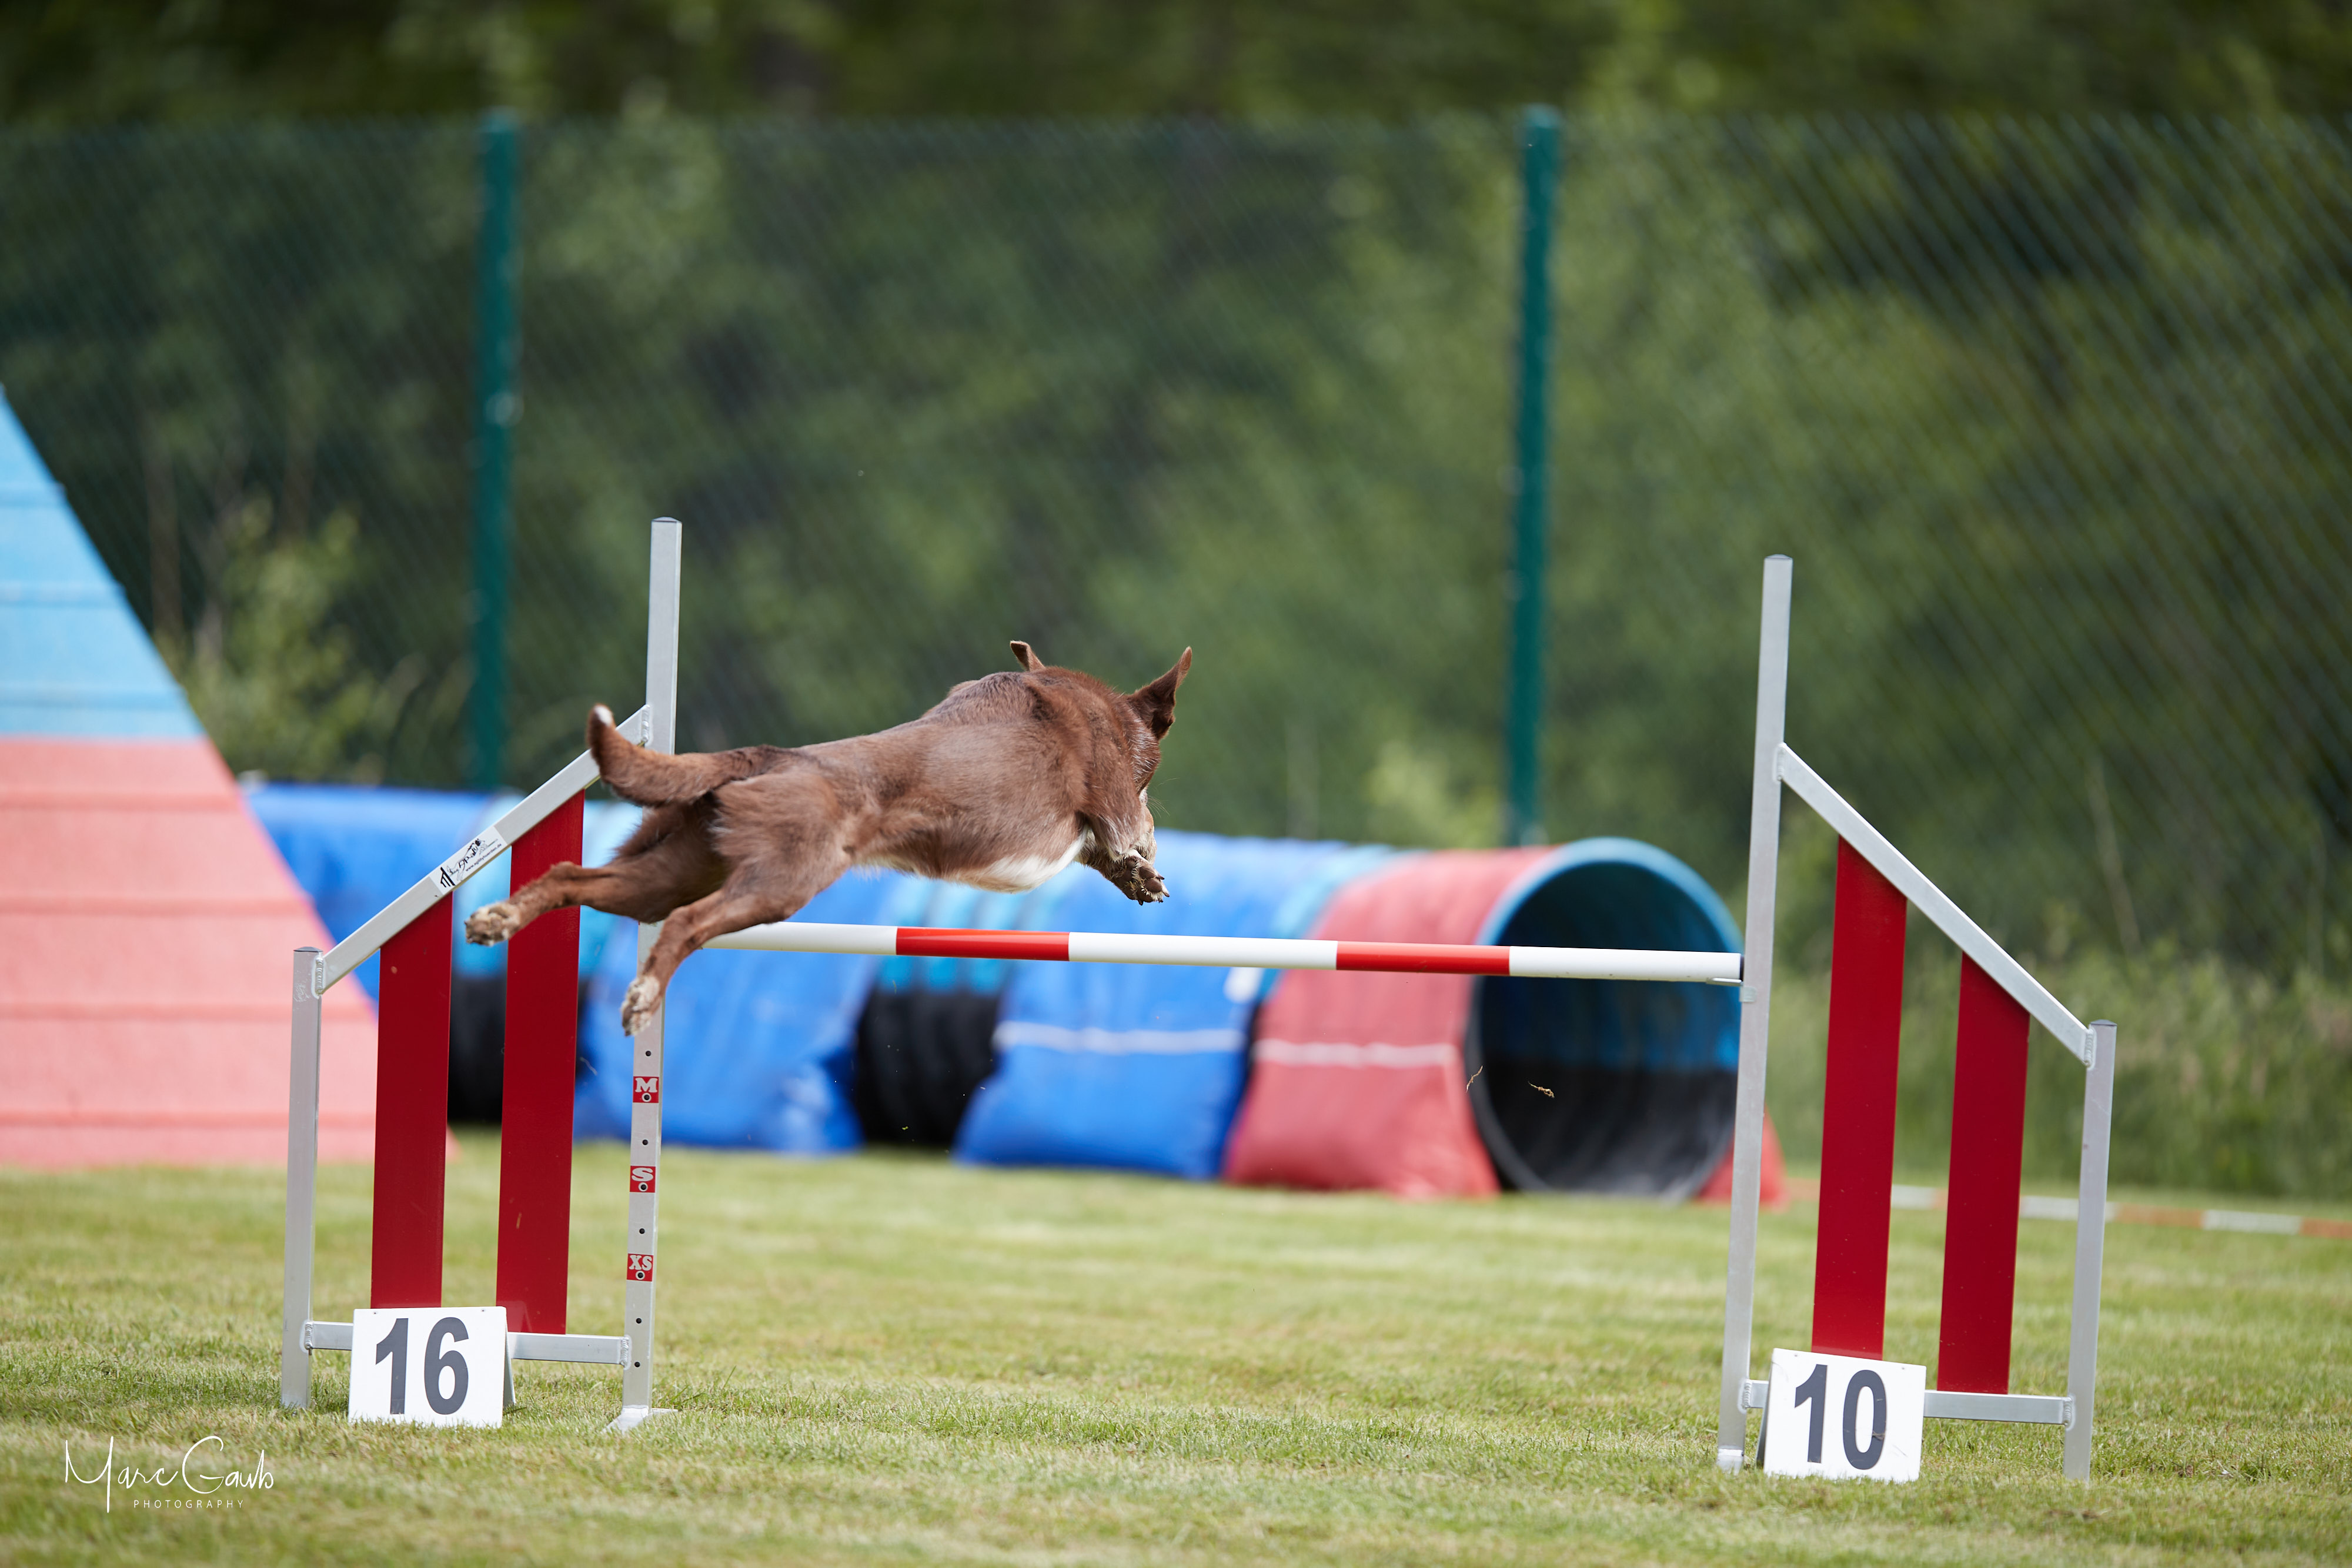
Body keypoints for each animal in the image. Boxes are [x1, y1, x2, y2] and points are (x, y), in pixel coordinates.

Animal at [464, 641, 1191, 1035]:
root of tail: (761, 756)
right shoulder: (1113, 808)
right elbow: (1125, 833)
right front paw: (1143, 871)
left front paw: (1140, 874)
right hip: (780, 882)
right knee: (687, 927)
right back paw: (642, 999)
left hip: (669, 872)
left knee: (572, 877)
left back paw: (497, 918)